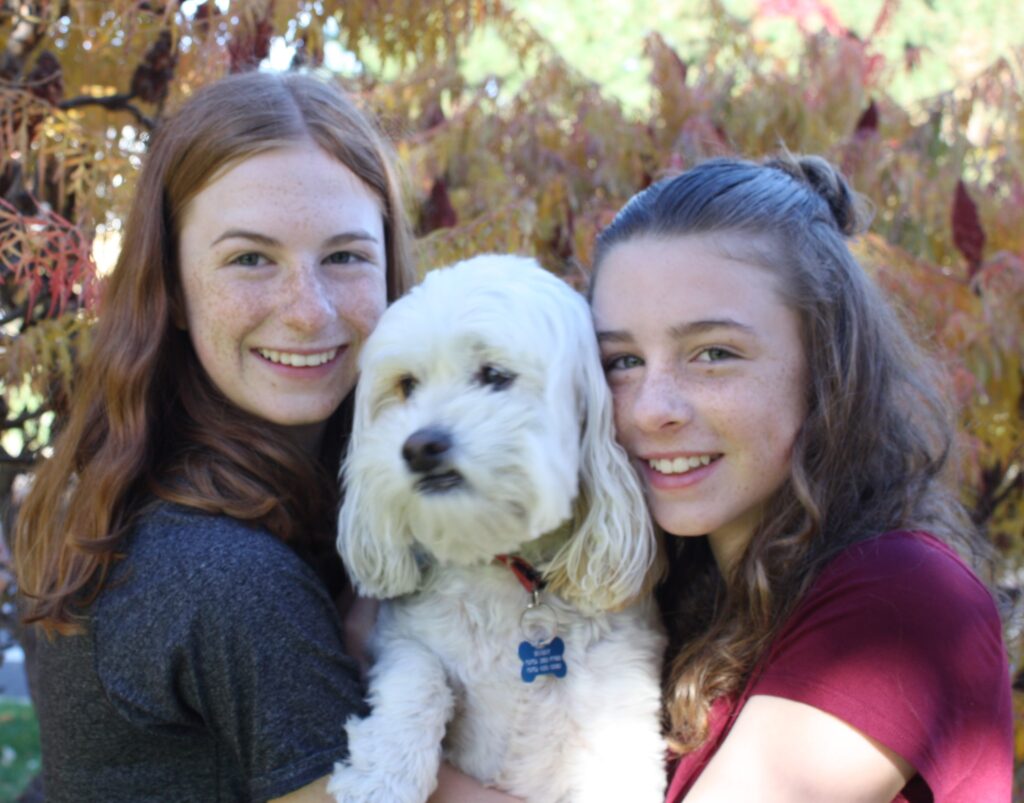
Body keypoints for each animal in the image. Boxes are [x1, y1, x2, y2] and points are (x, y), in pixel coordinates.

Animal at [325, 256, 663, 802]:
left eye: (496, 376)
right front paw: (383, 776)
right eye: (406, 385)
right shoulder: (403, 638)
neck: (502, 571)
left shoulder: (616, 704)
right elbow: (419, 676)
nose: (420, 446)